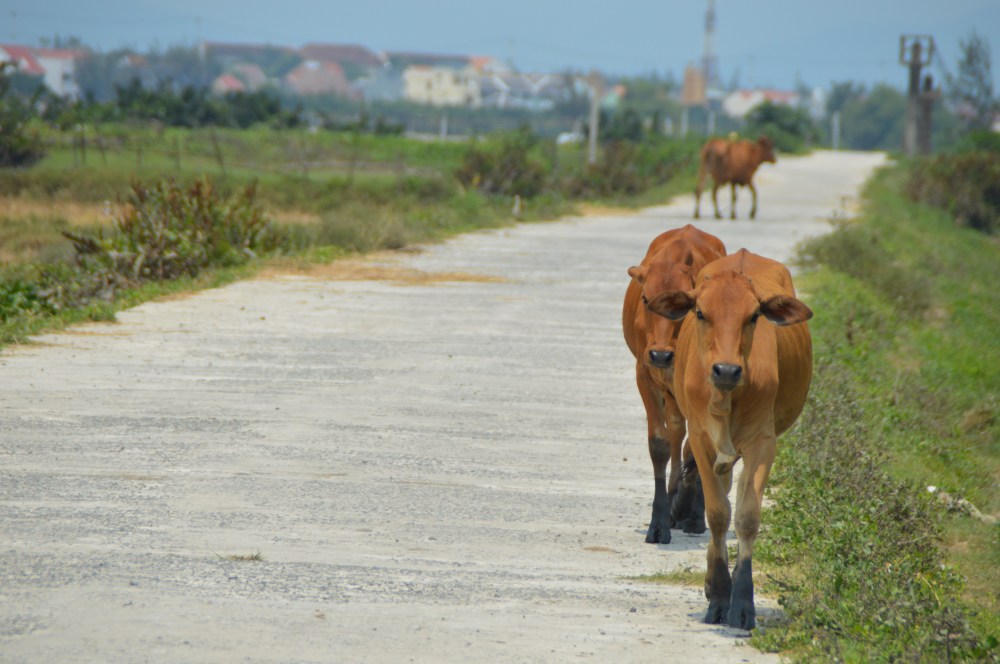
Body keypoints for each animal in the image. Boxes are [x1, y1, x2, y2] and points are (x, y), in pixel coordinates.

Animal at [622, 224, 727, 544]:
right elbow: (660, 443)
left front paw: (690, 512)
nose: (660, 354)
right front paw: (659, 521)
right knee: (677, 432)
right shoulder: (644, 374)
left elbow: (697, 447)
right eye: (645, 299)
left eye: (681, 305)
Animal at [646, 248, 812, 630]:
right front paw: (720, 596)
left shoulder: (763, 443)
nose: (726, 370)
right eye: (700, 312)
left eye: (753, 316)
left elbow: (747, 516)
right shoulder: (701, 440)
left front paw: (742, 602)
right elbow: (718, 512)